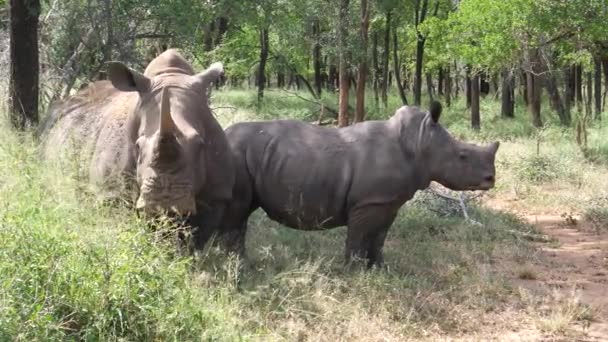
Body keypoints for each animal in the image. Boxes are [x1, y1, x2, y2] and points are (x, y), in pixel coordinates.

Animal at [41, 48, 235, 248]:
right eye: (138, 146)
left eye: (200, 144)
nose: (166, 200)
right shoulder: (109, 193)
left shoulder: (217, 194)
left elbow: (199, 236)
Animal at [218, 101, 498, 268]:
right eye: (462, 156)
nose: (491, 179)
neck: (419, 142)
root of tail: (224, 135)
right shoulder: (367, 203)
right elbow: (359, 237)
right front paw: (354, 272)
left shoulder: (387, 202)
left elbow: (379, 238)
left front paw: (379, 269)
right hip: (235, 153)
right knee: (238, 214)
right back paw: (238, 265)